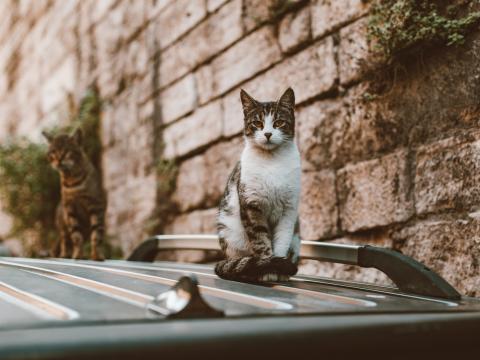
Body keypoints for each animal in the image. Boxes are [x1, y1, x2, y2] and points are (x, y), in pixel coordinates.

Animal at [42, 129, 105, 262]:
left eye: (66, 151)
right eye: (53, 152)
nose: (59, 160)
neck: (72, 181)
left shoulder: (95, 205)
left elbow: (97, 234)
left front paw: (97, 255)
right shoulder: (70, 208)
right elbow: (76, 235)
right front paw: (77, 254)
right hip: (62, 221)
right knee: (64, 239)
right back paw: (65, 254)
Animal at [217, 88, 300, 282]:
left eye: (279, 122)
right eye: (257, 123)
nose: (268, 134)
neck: (272, 161)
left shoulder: (289, 210)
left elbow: (281, 241)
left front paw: (280, 268)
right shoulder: (251, 206)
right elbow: (261, 242)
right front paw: (268, 270)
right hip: (229, 233)